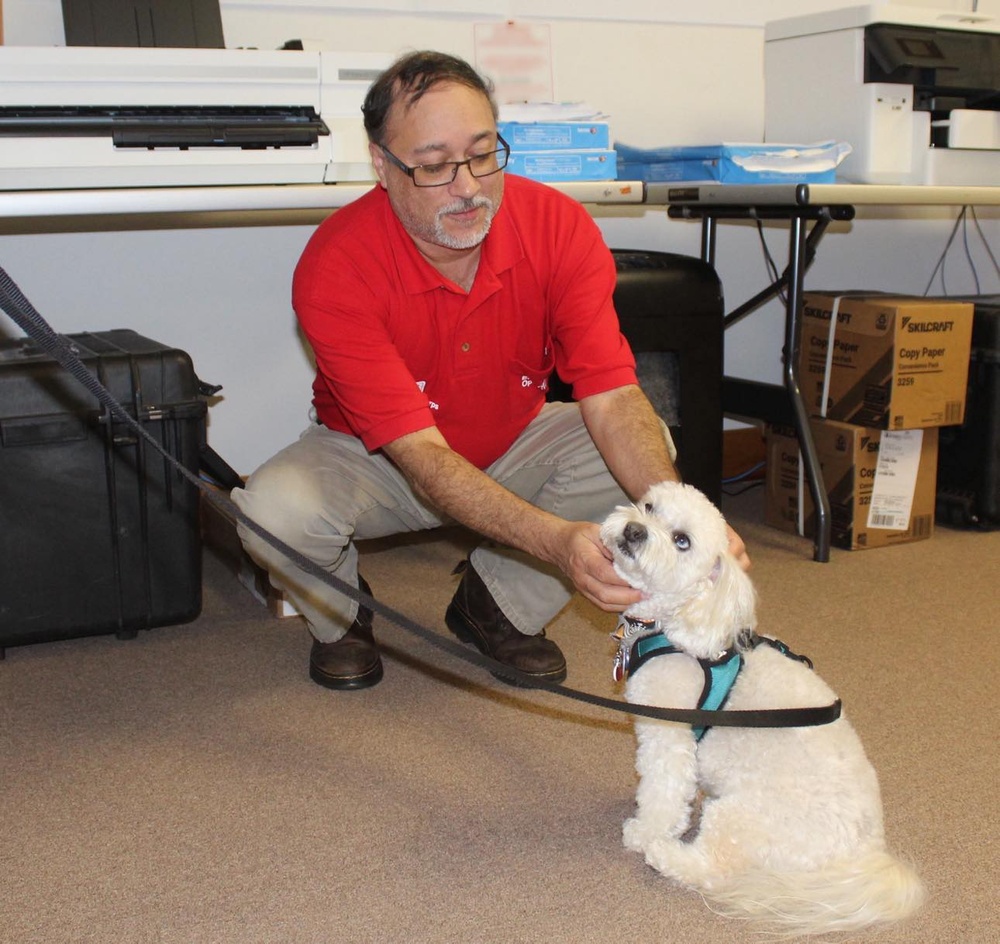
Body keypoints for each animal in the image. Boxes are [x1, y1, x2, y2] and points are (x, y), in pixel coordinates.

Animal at [596, 484, 924, 940]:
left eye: (682, 541)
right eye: (648, 506)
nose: (633, 530)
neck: (679, 625)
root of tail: (866, 857)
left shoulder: (667, 736)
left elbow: (663, 792)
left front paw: (646, 831)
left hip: (742, 817)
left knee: (712, 869)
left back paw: (666, 855)